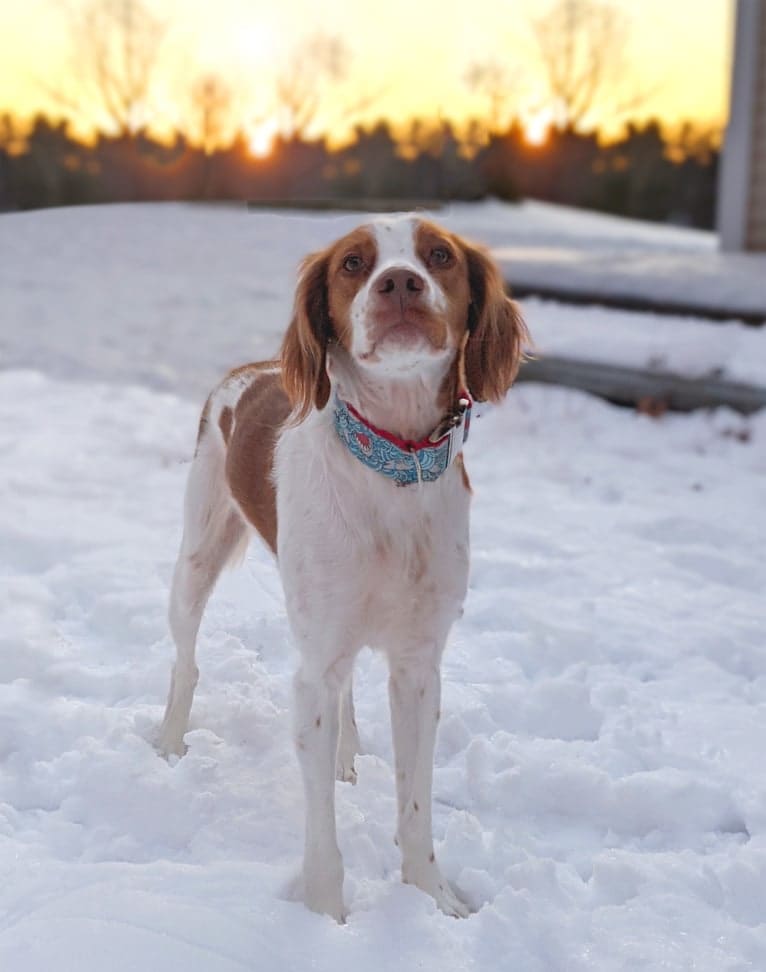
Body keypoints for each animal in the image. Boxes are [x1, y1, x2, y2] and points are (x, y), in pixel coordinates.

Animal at [156, 213, 528, 920]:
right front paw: (327, 916)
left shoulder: (418, 665)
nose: (400, 282)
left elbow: (416, 808)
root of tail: (250, 367)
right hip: (196, 558)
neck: (395, 464)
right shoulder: (314, 671)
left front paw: (433, 898)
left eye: (439, 255)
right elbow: (322, 835)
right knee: (186, 662)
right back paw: (168, 742)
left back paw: (347, 758)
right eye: (354, 263)